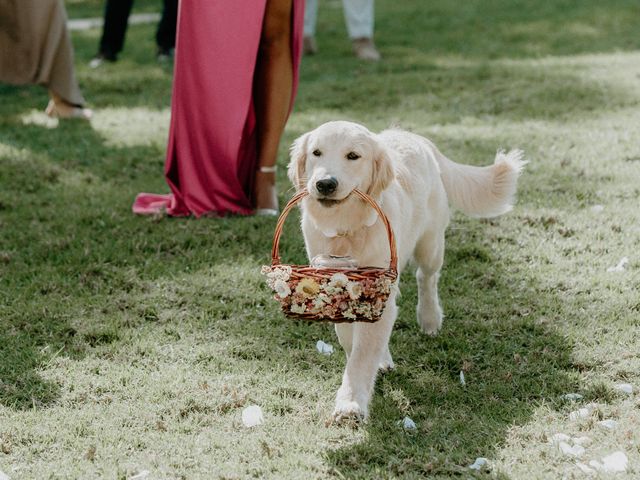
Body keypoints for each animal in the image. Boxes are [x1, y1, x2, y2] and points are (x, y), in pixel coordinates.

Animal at [288, 122, 524, 422]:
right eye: (316, 152)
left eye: (353, 156)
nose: (325, 184)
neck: (347, 228)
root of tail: (415, 137)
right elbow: (351, 339)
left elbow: (362, 353)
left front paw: (351, 403)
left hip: (431, 244)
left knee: (427, 278)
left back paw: (430, 318)